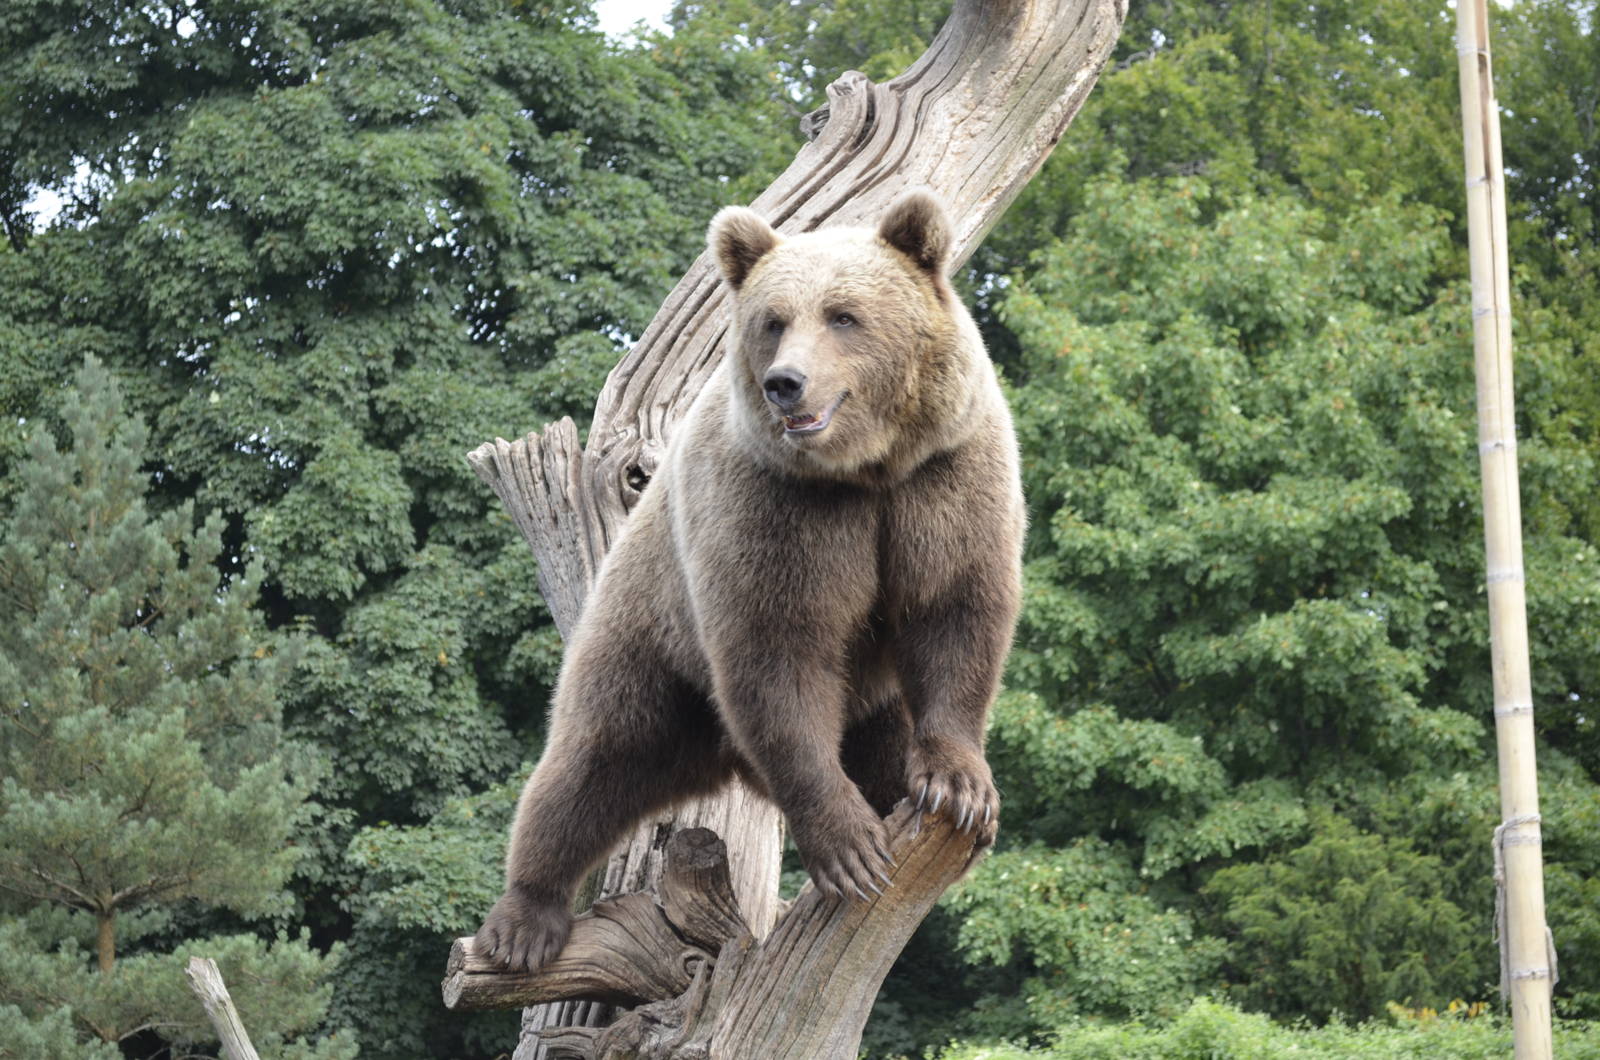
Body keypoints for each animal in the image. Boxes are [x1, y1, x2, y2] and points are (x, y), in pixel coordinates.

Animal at [474, 189, 1026, 974]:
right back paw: (523, 921)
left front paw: (959, 788)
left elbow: (955, 610)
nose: (785, 383)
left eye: (843, 315)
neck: (864, 471)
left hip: (864, 699)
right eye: (774, 320)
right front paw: (850, 846)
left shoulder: (943, 480)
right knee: (590, 761)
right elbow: (778, 653)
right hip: (648, 639)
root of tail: (720, 763)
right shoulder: (776, 511)